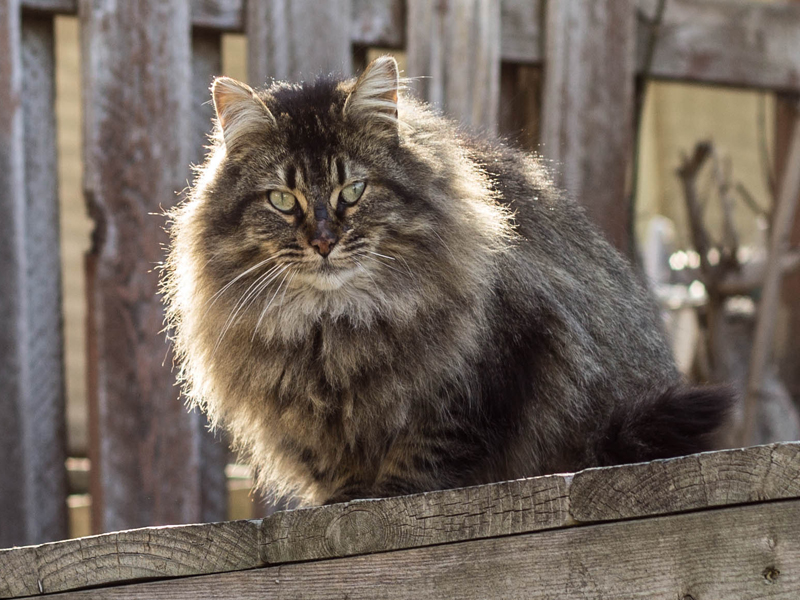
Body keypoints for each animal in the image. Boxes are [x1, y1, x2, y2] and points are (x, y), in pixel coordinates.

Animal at [161, 56, 732, 506]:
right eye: (282, 200)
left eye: (353, 191)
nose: (323, 242)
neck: (336, 326)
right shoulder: (309, 420)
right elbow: (336, 467)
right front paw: (346, 501)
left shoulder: (489, 370)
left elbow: (425, 453)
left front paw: (386, 497)